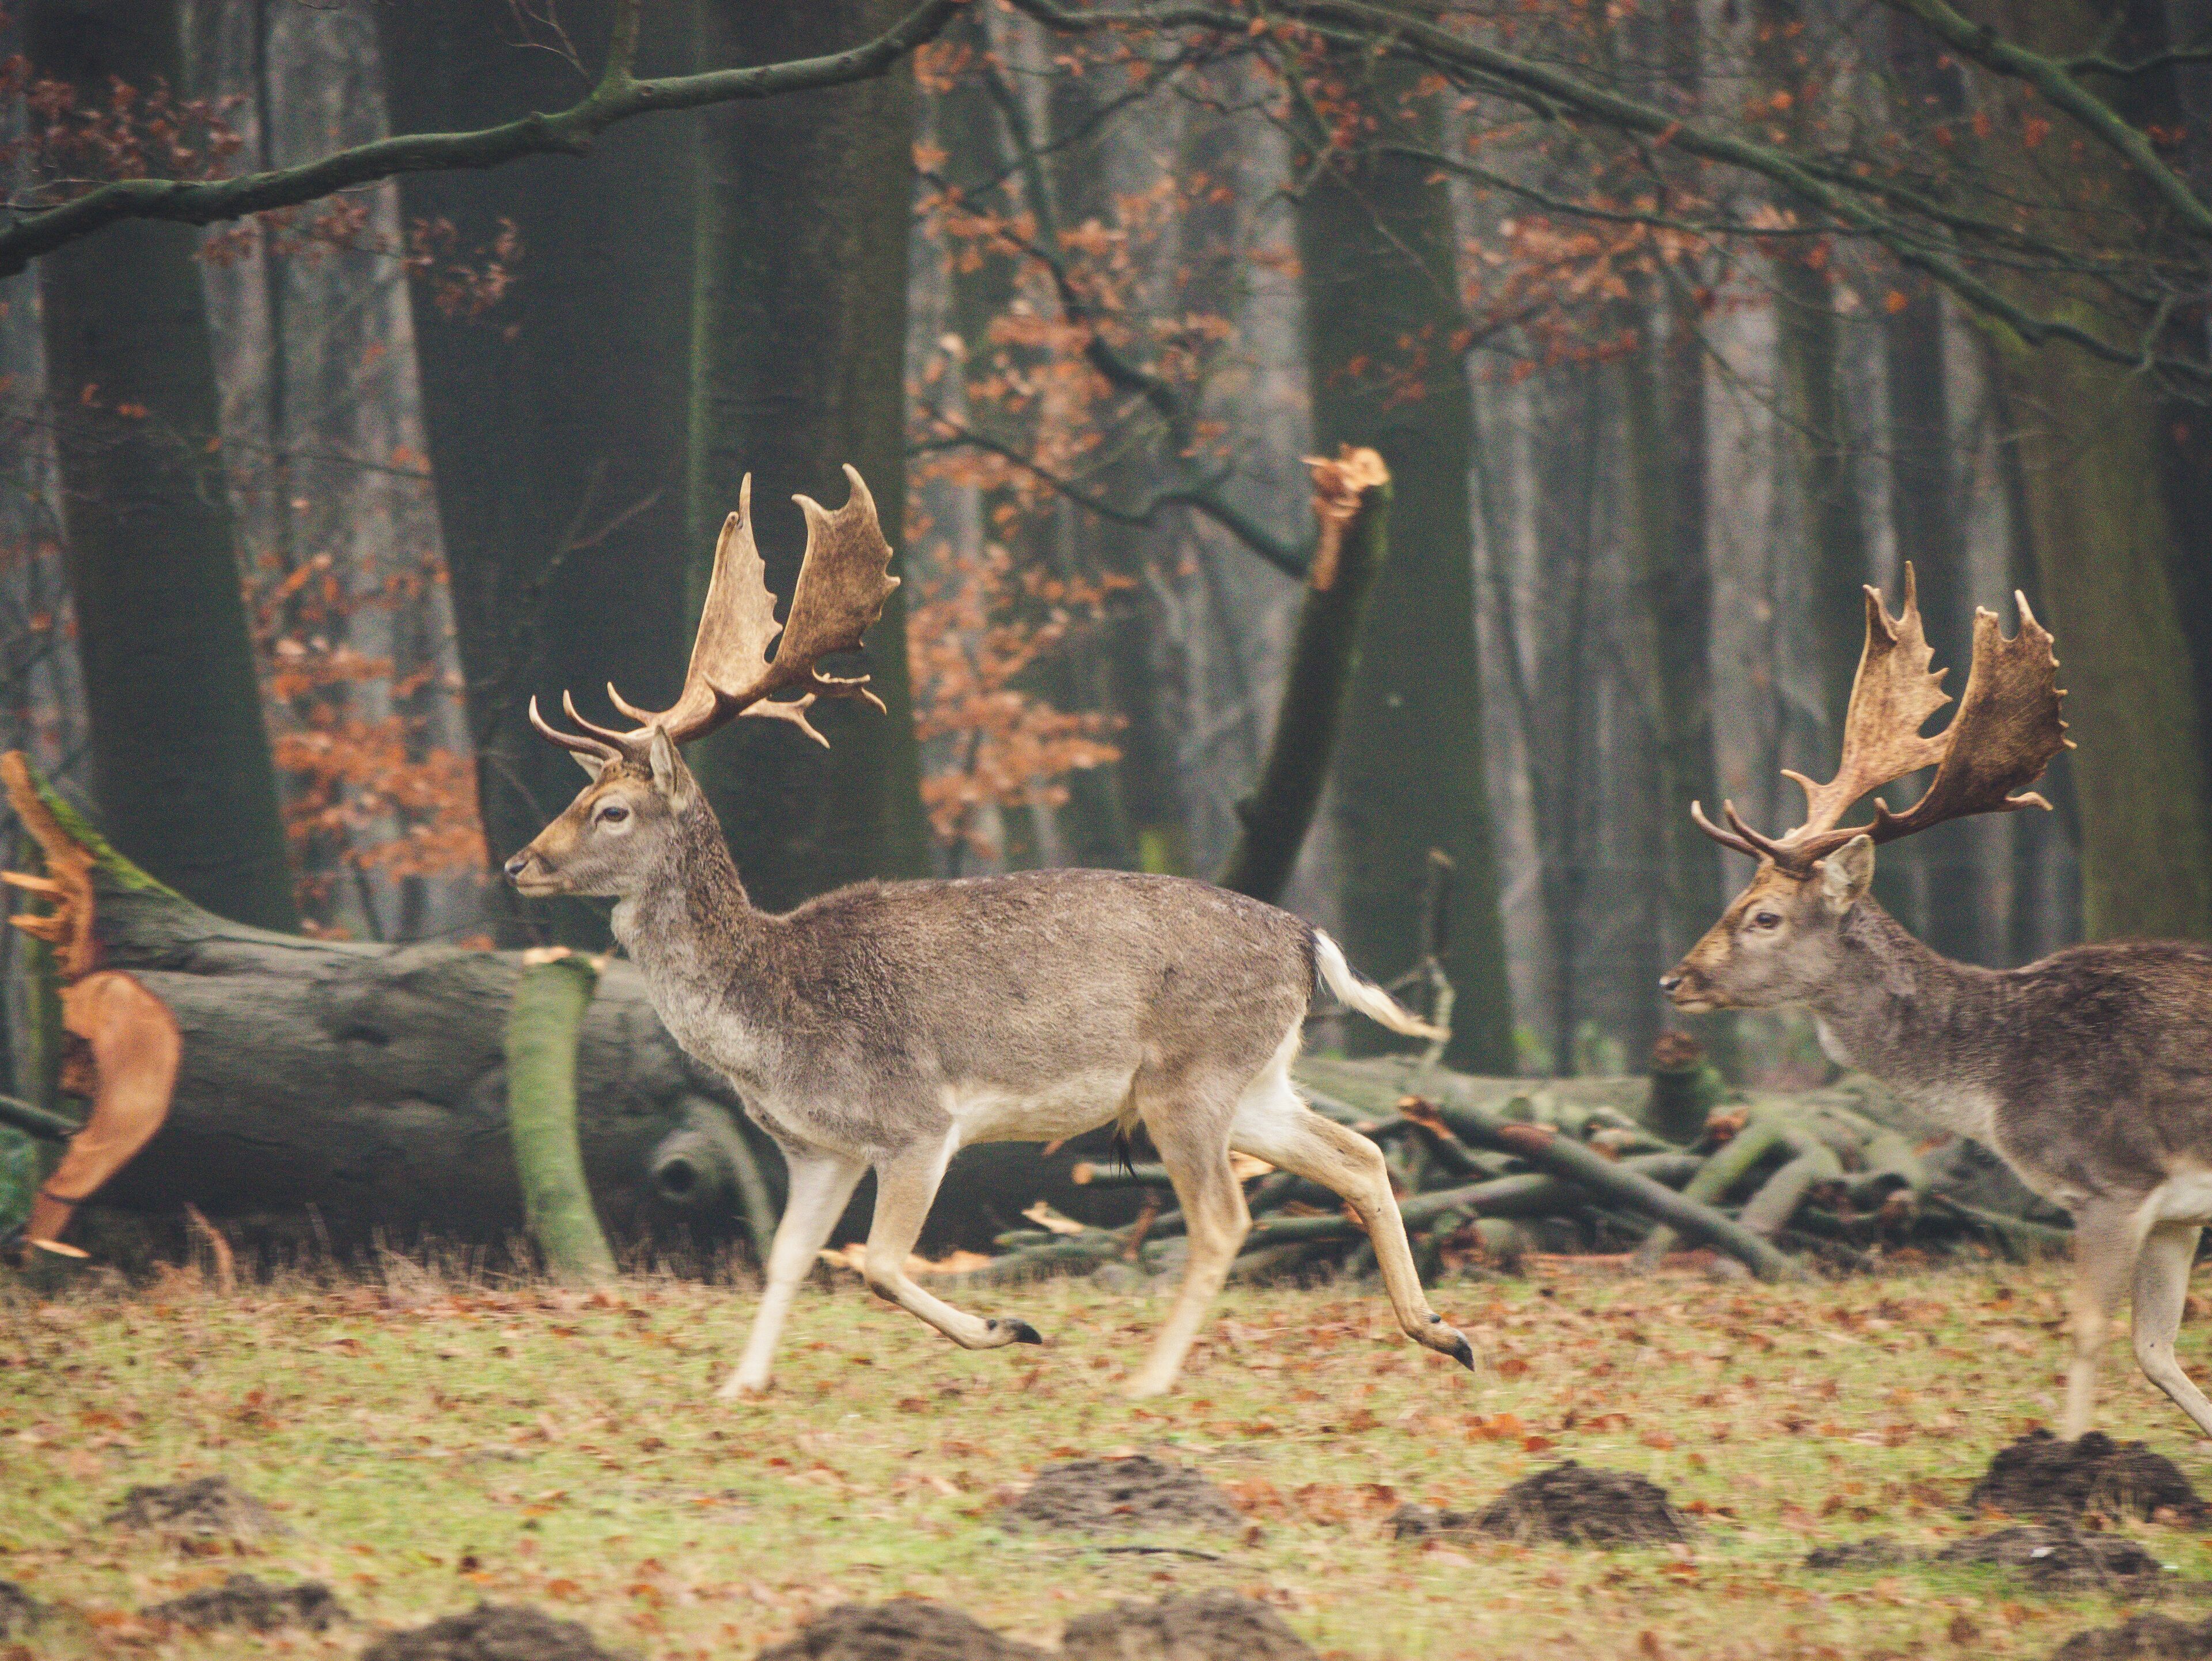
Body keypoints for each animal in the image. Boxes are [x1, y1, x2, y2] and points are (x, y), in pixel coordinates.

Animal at [502, 464, 1477, 1400]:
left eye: (613, 809)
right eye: (580, 793)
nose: (518, 862)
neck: (770, 1020)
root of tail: (1306, 938)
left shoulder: (916, 1121)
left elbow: (879, 1263)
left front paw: (1009, 1328)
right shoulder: (817, 1149)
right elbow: (786, 1258)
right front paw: (740, 1385)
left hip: (1190, 1079)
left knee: (1225, 1218)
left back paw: (1148, 1380)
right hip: (1258, 1081)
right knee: (1361, 1153)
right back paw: (1442, 1331)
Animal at [1662, 567, 2212, 1445]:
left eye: (1765, 916)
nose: (1674, 980)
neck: (1999, 1082)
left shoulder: (2113, 1179)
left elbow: (2090, 1333)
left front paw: (2067, 1461)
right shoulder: (2177, 1210)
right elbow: (2156, 1350)